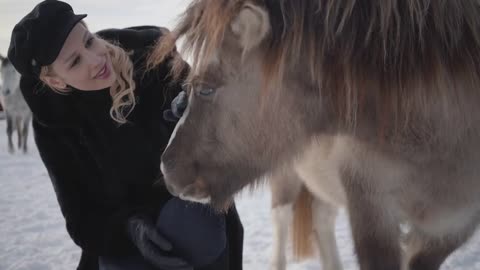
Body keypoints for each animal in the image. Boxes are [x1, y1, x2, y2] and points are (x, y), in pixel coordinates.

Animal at [151, 1, 480, 268]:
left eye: (205, 88)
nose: (167, 166)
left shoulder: (452, 227)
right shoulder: (371, 207)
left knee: (322, 219)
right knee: (283, 220)